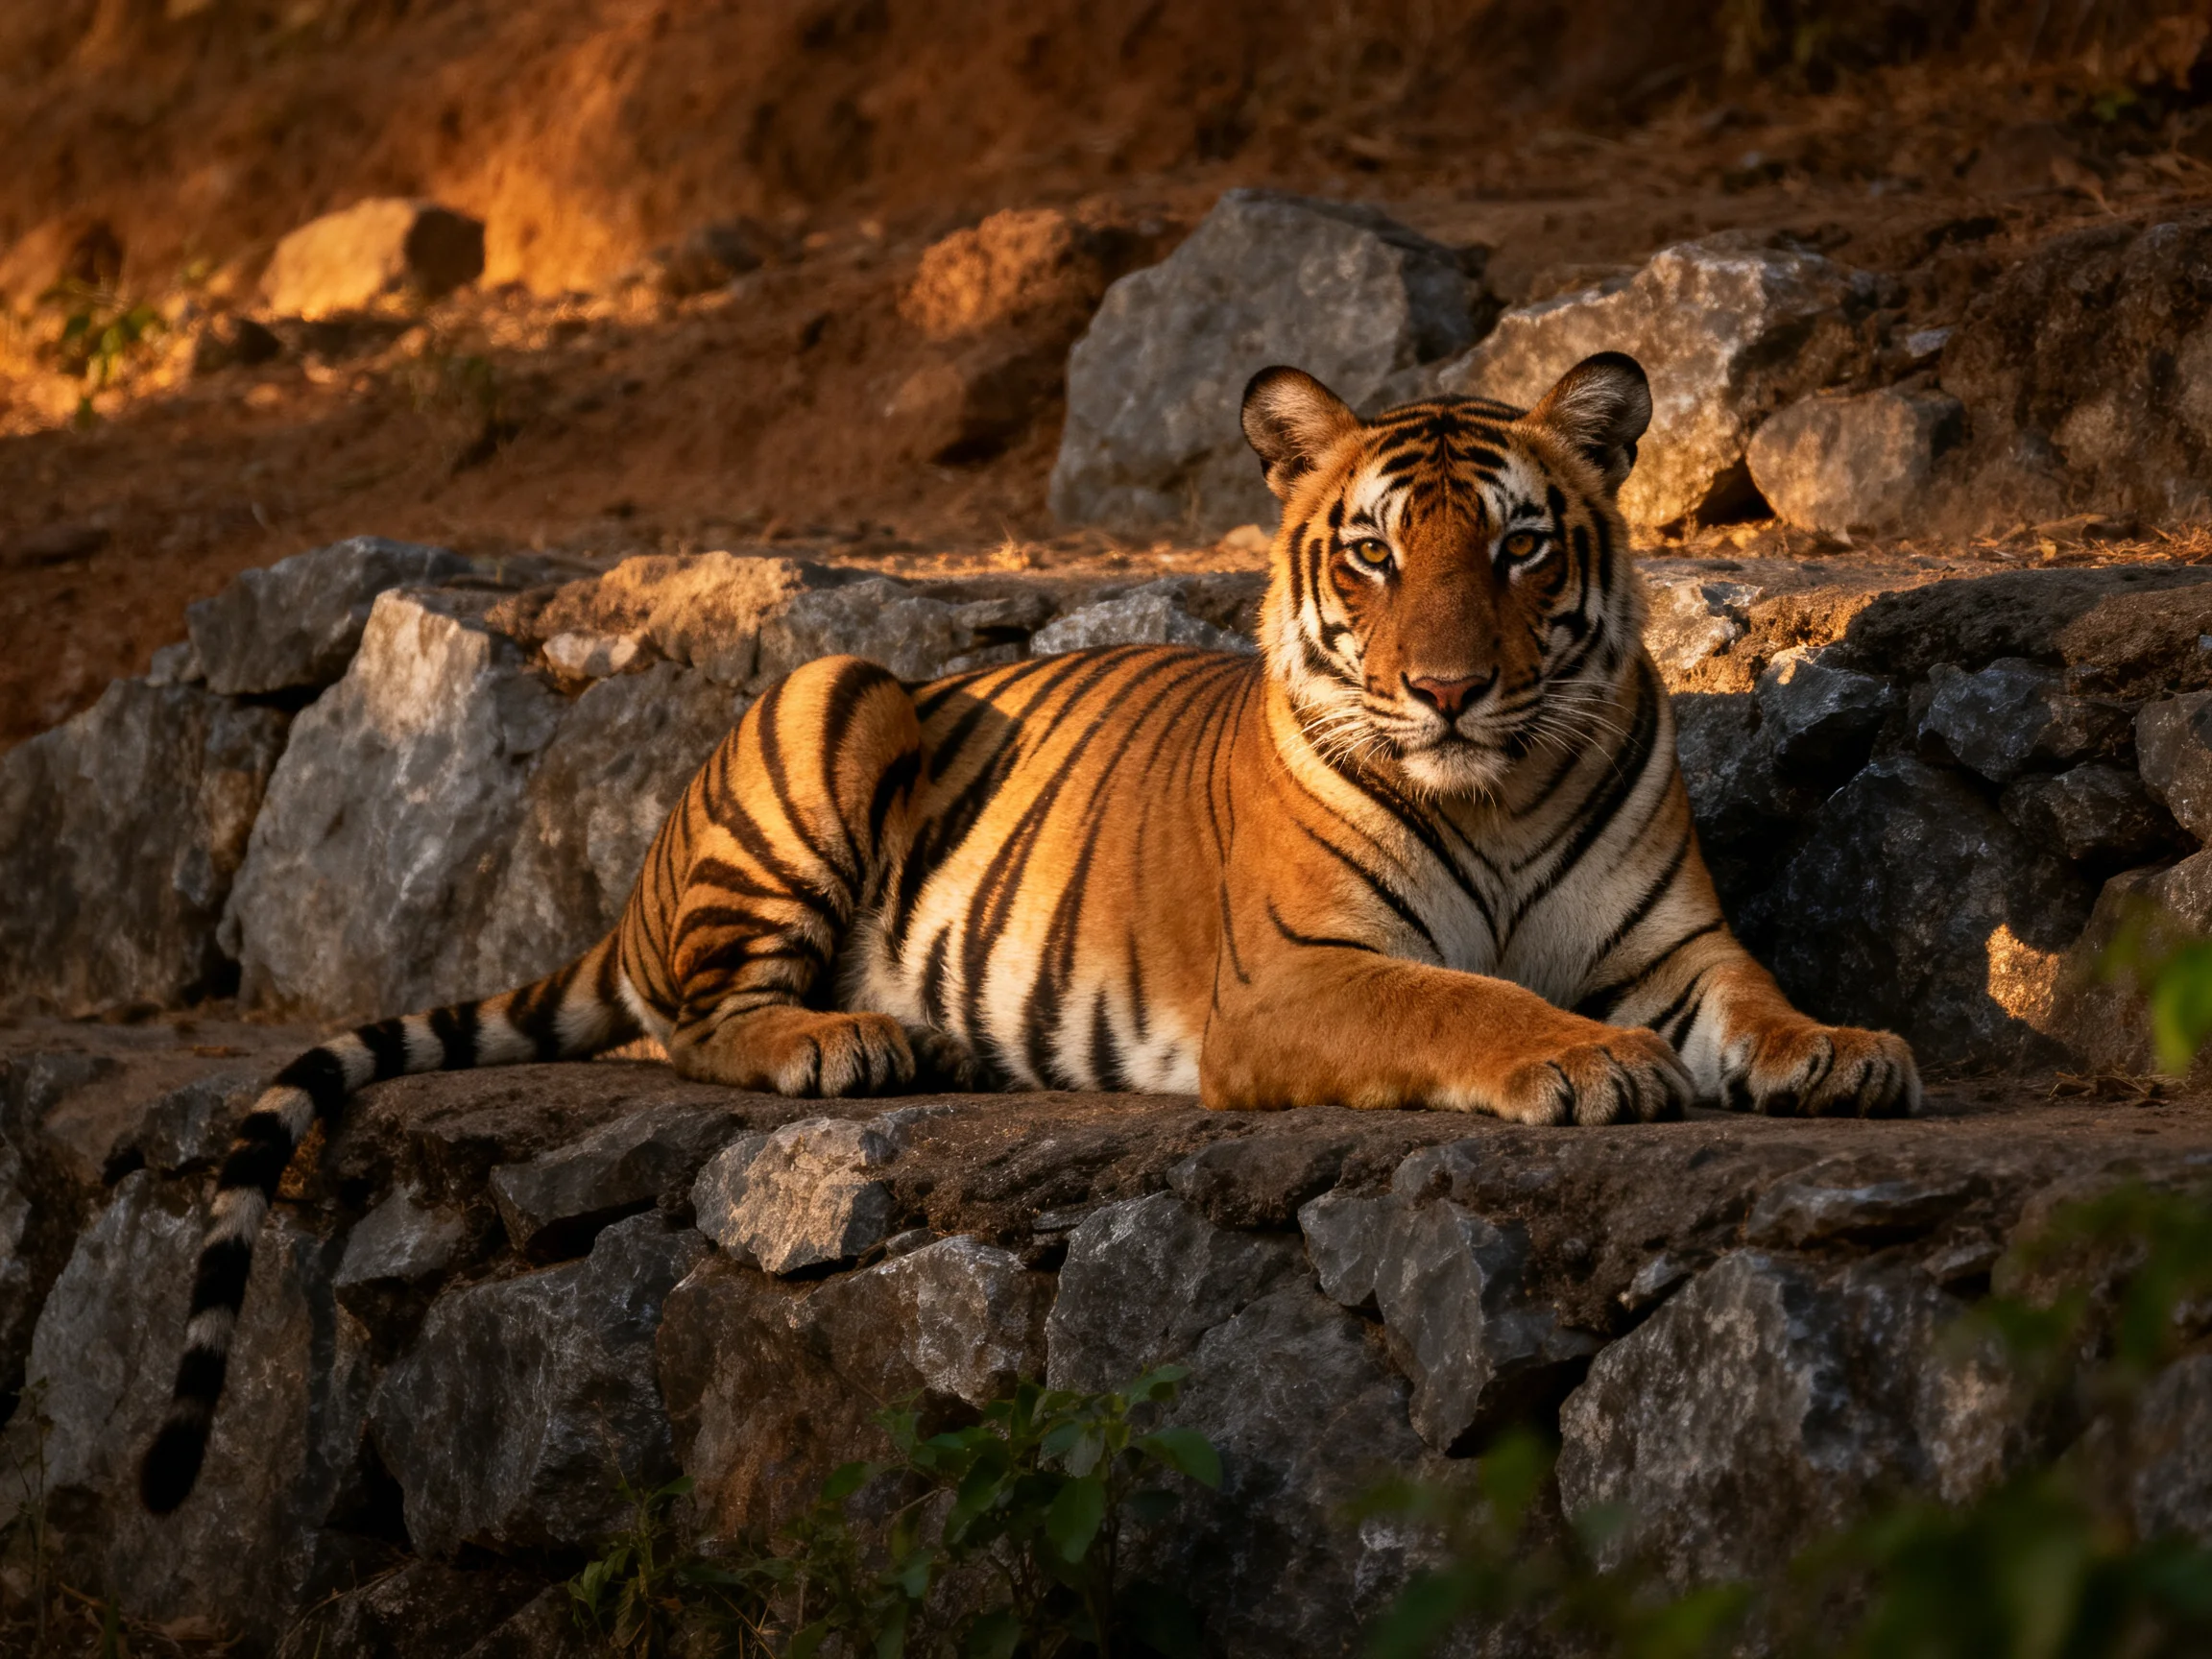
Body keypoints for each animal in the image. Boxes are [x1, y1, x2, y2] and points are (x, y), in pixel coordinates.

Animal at [139, 349, 1919, 1514]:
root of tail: (629, 886)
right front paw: (1590, 1066)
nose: (1446, 687)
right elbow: (1467, 1004)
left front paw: (1843, 1051)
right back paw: (856, 1038)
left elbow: (1756, 995)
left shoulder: (1669, 949)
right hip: (827, 691)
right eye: (1373, 551)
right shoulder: (1297, 977)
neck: (1492, 787)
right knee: (694, 1022)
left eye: (1518, 541)